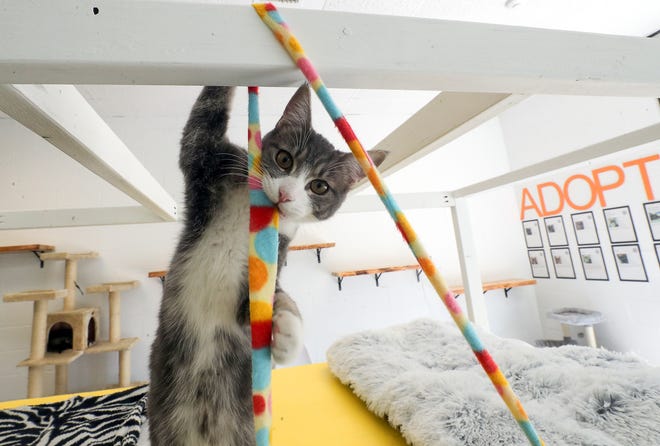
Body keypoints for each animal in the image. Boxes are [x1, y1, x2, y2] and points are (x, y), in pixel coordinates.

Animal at [150, 84, 386, 446]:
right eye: (284, 159)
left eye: (319, 186)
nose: (286, 194)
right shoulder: (207, 161)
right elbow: (202, 122)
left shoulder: (277, 250)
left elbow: (266, 300)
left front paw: (288, 333)